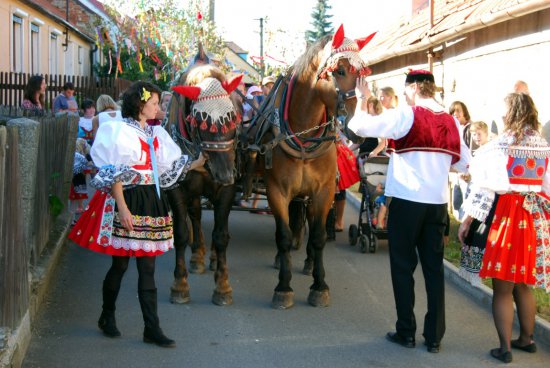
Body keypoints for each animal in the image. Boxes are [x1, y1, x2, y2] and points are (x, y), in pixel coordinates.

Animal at [163, 64, 243, 306]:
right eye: (200, 122)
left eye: (233, 118)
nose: (226, 174)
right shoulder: (176, 188)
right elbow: (181, 233)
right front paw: (179, 285)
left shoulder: (226, 190)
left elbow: (221, 235)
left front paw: (223, 286)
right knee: (196, 216)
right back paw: (197, 256)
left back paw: (214, 259)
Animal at [252, 24, 378, 310]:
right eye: (340, 71)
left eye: (363, 74)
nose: (360, 131)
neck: (303, 135)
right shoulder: (277, 191)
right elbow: (283, 235)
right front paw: (283, 287)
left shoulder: (324, 191)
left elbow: (319, 236)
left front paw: (319, 286)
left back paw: (309, 263)